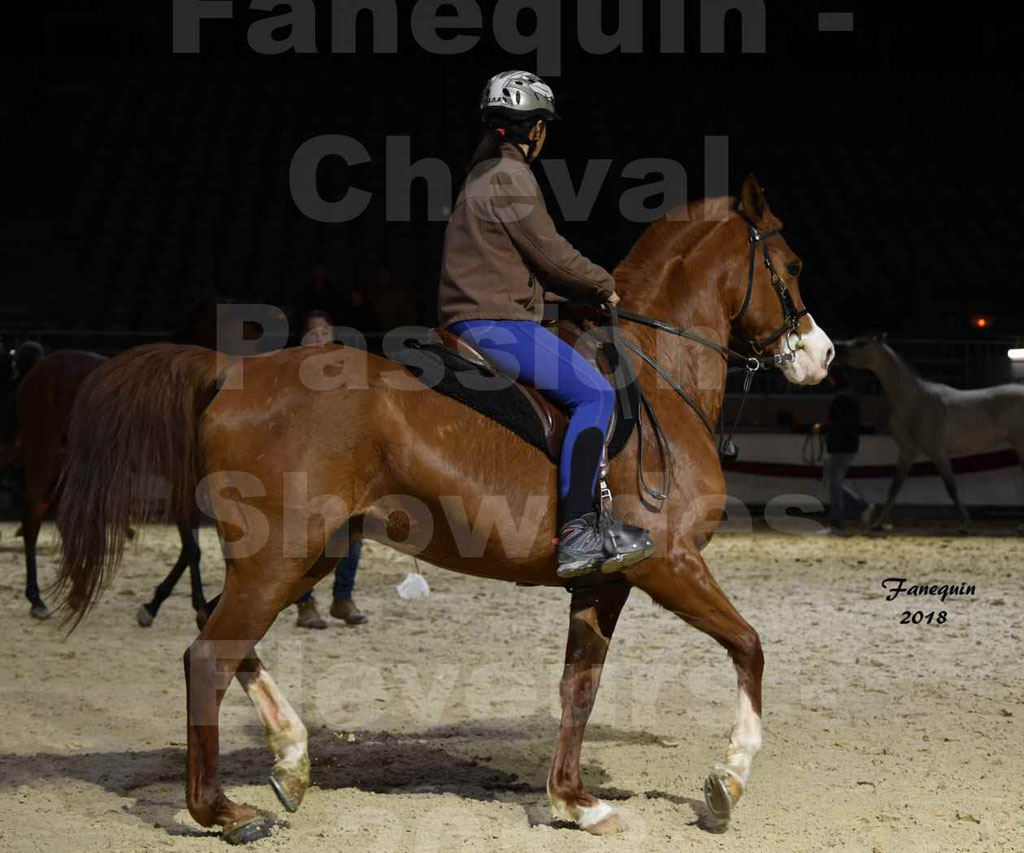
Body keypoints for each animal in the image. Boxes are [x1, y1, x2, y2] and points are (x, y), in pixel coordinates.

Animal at [54, 176, 831, 843]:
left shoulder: (606, 578)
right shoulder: (668, 563)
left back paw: (292, 759)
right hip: (279, 555)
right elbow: (749, 645)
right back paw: (223, 811)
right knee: (208, 656)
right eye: (792, 264)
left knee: (221, 629)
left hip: (309, 553)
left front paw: (573, 801)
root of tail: (232, 370)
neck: (654, 372)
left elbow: (579, 685)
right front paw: (727, 781)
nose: (820, 355)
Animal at [831, 333, 1024, 528]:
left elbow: (951, 488)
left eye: (861, 344)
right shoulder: (906, 453)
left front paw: (967, 525)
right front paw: (877, 524)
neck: (915, 401)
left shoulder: (939, 453)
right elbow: (894, 488)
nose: (835, 348)